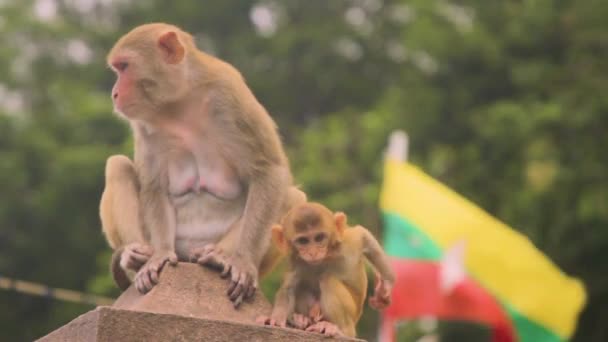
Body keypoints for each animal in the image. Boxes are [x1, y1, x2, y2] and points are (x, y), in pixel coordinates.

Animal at [101, 22, 306, 306]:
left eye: (124, 67)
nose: (115, 93)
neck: (179, 100)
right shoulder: (142, 123)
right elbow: (154, 186)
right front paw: (160, 254)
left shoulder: (229, 91)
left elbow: (269, 170)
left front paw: (242, 261)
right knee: (118, 165)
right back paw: (135, 256)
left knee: (291, 196)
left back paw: (219, 257)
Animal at [258, 202, 396, 338]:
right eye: (303, 241)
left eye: (319, 238)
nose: (313, 252)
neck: (325, 257)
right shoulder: (296, 262)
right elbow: (288, 289)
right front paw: (276, 319)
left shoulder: (348, 244)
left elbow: (364, 236)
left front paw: (386, 286)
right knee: (302, 287)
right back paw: (301, 320)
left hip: (353, 313)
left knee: (328, 280)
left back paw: (339, 330)